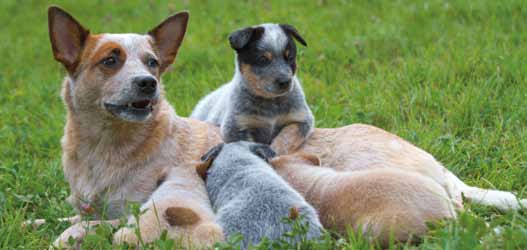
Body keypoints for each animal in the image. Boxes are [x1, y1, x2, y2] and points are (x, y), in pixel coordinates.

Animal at [190, 23, 314, 156]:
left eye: (290, 57)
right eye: (263, 59)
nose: (285, 82)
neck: (271, 103)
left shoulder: (301, 119)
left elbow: (285, 138)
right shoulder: (235, 127)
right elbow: (246, 144)